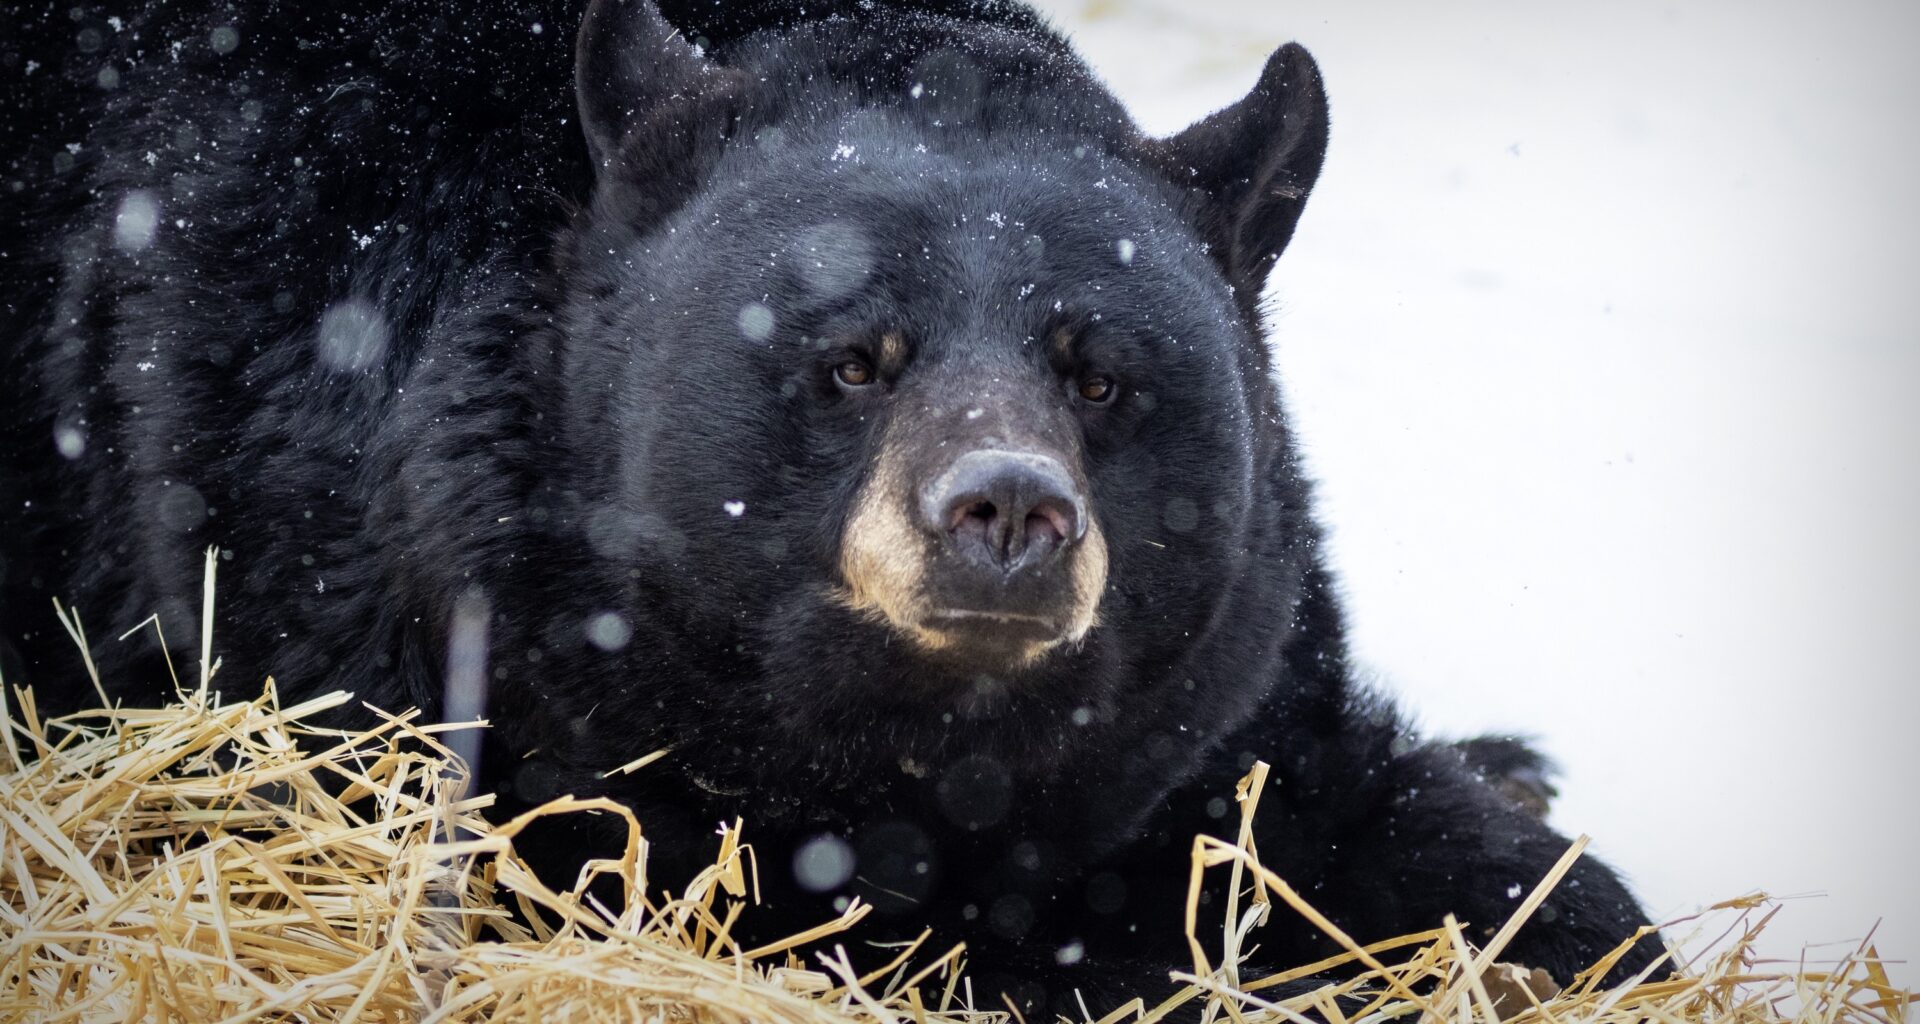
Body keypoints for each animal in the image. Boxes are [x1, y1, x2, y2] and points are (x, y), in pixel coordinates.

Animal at [0, 0, 1663, 1013]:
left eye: (1100, 373)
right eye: (856, 357)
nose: (1007, 511)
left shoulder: (1207, 704)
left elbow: (1381, 831)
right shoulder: (348, 591)